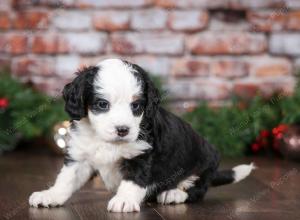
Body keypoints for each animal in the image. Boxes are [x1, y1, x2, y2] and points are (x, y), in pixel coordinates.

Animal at [28, 58, 255, 213]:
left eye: (136, 106)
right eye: (102, 104)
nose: (123, 129)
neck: (108, 142)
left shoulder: (142, 154)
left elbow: (134, 179)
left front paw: (124, 200)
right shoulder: (80, 156)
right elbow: (66, 179)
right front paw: (51, 195)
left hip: (206, 161)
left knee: (196, 189)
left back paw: (174, 192)